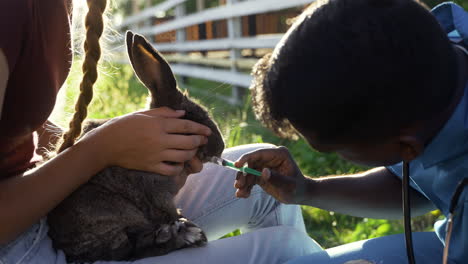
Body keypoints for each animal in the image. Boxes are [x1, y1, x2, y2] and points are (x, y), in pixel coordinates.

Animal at [46, 31, 226, 262]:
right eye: (194, 118)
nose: (220, 146)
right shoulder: (158, 193)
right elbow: (166, 211)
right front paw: (181, 220)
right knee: (128, 249)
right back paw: (187, 235)